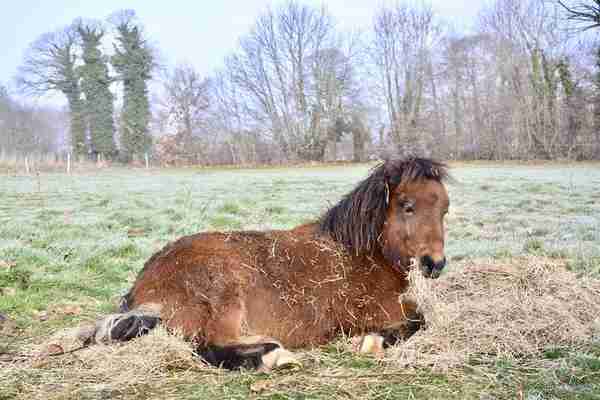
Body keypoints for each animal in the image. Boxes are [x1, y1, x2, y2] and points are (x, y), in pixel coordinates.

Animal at [85, 158, 450, 370]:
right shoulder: (379, 312)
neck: (361, 254)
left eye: (444, 209)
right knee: (207, 347)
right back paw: (273, 355)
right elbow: (420, 321)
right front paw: (371, 342)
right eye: (407, 206)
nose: (434, 264)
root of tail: (143, 286)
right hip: (226, 297)